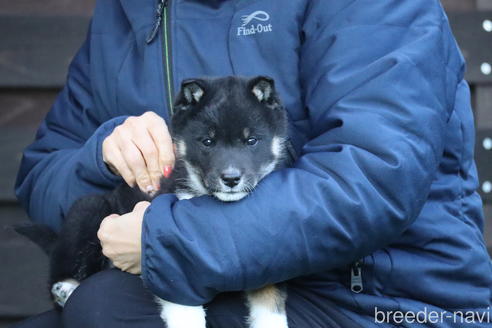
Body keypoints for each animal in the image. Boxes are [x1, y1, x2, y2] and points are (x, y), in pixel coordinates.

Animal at [17, 75, 290, 328]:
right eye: (208, 142)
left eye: (251, 141)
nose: (231, 178)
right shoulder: (173, 252)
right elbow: (179, 293)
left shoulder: (261, 256)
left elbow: (270, 296)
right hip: (88, 210)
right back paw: (66, 289)